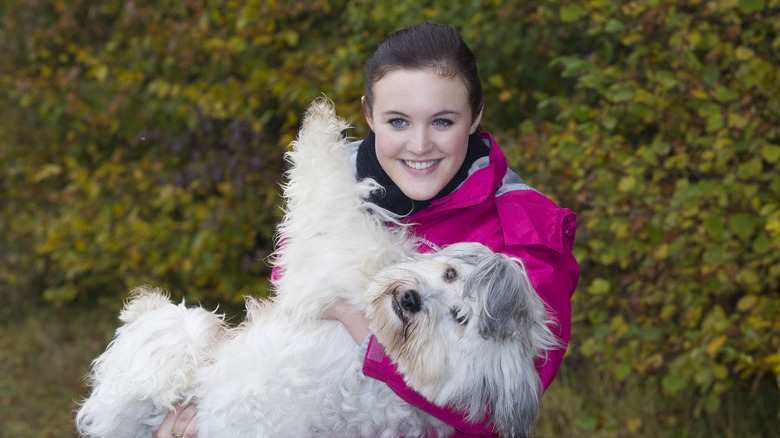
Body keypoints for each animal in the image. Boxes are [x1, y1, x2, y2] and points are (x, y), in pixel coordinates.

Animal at [74, 98, 560, 438]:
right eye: (451, 275)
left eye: (460, 318)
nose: (410, 300)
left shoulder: (336, 252)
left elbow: (328, 185)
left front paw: (320, 121)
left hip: (174, 350)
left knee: (167, 334)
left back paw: (148, 306)